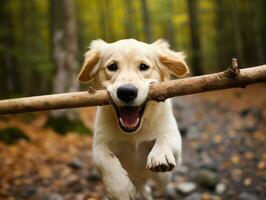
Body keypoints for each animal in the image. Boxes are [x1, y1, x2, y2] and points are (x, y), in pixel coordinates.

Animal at [77, 38, 189, 199]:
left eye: (143, 66)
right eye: (112, 66)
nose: (126, 92)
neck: (134, 132)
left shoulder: (174, 138)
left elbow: (165, 137)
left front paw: (160, 155)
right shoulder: (98, 145)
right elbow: (106, 160)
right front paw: (120, 188)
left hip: (163, 180)